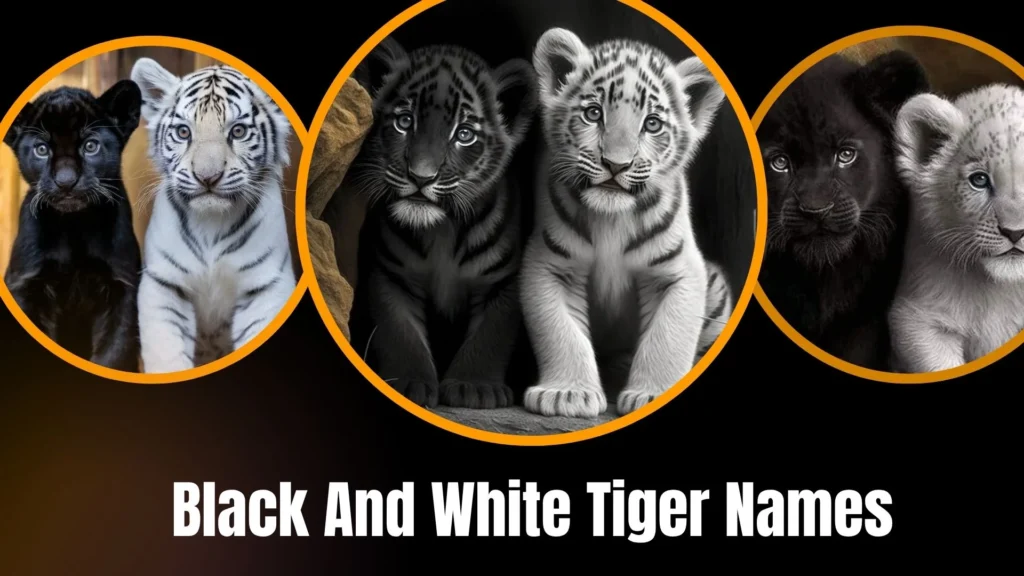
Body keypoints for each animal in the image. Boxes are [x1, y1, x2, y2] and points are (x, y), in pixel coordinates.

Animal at [129, 58, 296, 373]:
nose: (207, 177)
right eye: (183, 132)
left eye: (238, 131)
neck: (211, 225)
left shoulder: (267, 287)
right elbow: (166, 353)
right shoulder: (164, 284)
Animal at [346, 38, 538, 409]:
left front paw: (475, 387)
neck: (443, 231)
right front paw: (408, 383)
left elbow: (490, 336)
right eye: (404, 121)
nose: (421, 177)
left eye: (464, 134)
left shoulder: (502, 282)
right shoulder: (391, 275)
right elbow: (400, 334)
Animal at [520, 28, 734, 419]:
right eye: (593, 114)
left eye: (652, 124)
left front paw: (654, 393)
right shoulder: (549, 265)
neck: (611, 217)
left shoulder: (678, 271)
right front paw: (567, 394)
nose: (615, 164)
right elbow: (561, 332)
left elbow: (668, 337)